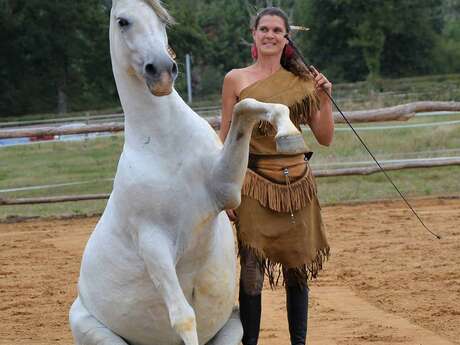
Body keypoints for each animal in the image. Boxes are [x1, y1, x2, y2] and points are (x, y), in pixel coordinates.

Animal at [70, 0, 308, 344]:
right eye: (122, 21)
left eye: (162, 20)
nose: (161, 71)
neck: (165, 143)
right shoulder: (153, 243)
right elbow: (183, 318)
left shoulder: (225, 189)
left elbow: (245, 106)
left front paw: (287, 132)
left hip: (233, 326)